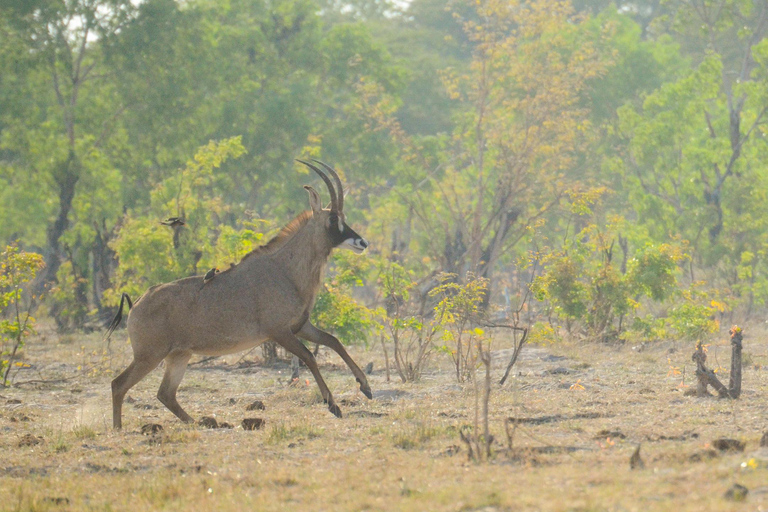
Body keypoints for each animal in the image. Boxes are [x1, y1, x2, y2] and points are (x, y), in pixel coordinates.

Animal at [106, 159, 370, 428]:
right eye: (333, 218)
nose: (362, 243)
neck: (285, 269)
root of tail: (136, 303)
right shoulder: (280, 332)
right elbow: (309, 356)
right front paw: (333, 404)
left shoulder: (300, 326)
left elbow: (333, 341)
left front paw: (366, 386)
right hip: (149, 355)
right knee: (119, 384)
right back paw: (118, 429)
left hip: (179, 355)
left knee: (165, 393)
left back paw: (197, 423)